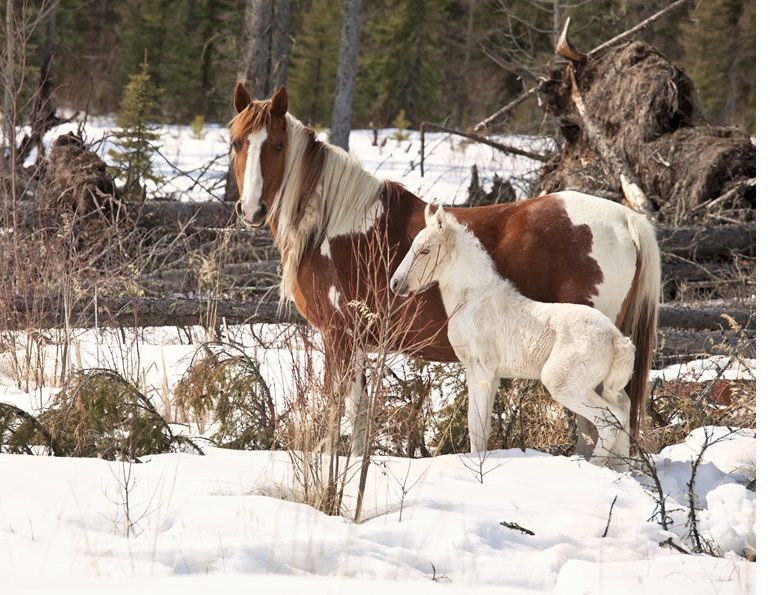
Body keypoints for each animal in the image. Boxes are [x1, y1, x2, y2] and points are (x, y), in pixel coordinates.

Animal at [391, 205, 636, 466]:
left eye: (425, 250)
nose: (396, 283)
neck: (473, 299)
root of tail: (616, 338)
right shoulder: (491, 375)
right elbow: (483, 427)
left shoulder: (480, 370)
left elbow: (475, 427)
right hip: (601, 386)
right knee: (624, 410)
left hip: (564, 385)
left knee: (610, 420)